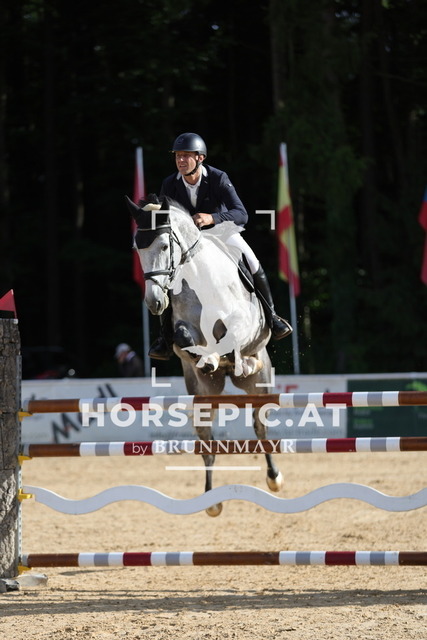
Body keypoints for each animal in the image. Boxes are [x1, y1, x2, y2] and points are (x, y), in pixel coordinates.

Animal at [126, 195, 284, 515]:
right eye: (138, 249)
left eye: (165, 246)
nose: (154, 302)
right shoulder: (181, 333)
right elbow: (184, 338)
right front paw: (209, 359)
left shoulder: (243, 322)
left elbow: (232, 336)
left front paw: (232, 359)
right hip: (203, 394)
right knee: (207, 441)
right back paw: (211, 500)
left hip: (259, 385)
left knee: (260, 427)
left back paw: (274, 478)